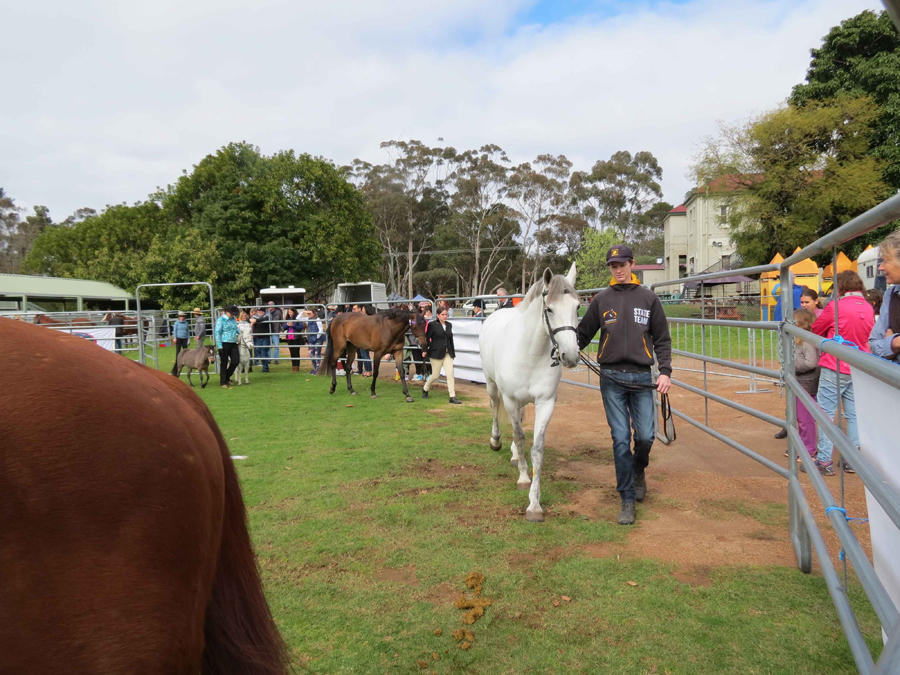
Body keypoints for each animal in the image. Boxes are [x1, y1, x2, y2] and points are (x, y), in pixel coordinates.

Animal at [482, 264, 580, 524]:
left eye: (578, 307)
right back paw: (496, 441)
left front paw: (534, 505)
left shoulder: (546, 402)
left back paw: (516, 457)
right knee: (494, 408)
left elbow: (536, 448)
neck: (530, 351)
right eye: (549, 309)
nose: (570, 355)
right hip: (492, 385)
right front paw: (524, 478)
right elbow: (519, 435)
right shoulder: (510, 400)